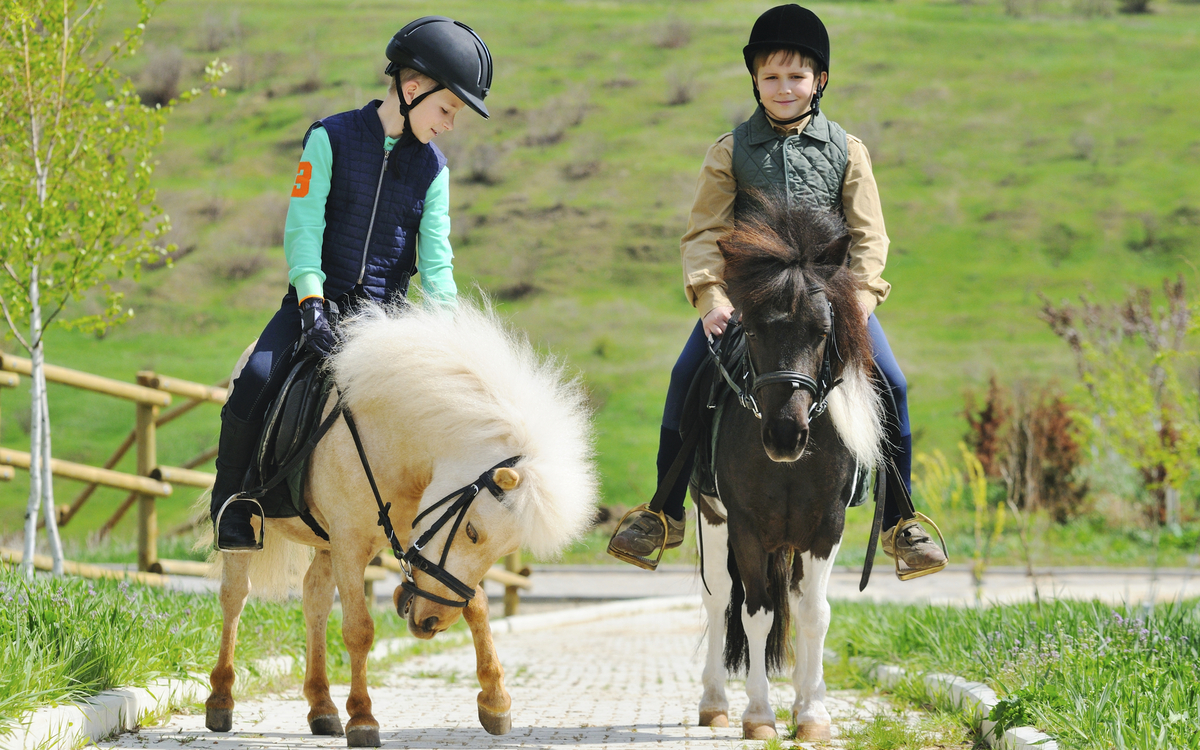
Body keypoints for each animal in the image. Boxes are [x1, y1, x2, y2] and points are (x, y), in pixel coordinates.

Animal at [202, 300, 598, 747]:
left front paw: (495, 699)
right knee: (235, 596)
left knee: (314, 599)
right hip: (256, 528)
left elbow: (477, 604)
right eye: (473, 532)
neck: (393, 440)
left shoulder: (415, 538)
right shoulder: (352, 542)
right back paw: (221, 699)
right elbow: (359, 629)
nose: (431, 623)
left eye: (504, 550)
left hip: (327, 543)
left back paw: (321, 706)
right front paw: (363, 718)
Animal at [692, 195, 884, 740]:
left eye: (822, 332)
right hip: (711, 517)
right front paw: (759, 715)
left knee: (794, 601)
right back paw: (715, 703)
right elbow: (756, 613)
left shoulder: (826, 527)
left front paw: (812, 713)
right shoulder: (747, 528)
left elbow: (813, 613)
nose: (784, 435)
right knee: (720, 599)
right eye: (753, 329)